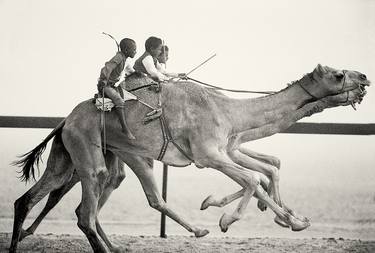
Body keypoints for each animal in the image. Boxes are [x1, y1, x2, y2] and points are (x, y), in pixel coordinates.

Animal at [9, 65, 370, 253]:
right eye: (339, 75)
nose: (365, 78)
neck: (230, 112)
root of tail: (64, 121)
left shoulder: (225, 149)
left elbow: (268, 170)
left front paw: (289, 217)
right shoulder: (209, 153)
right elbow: (255, 178)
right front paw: (229, 218)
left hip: (77, 157)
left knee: (33, 199)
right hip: (87, 151)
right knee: (85, 209)